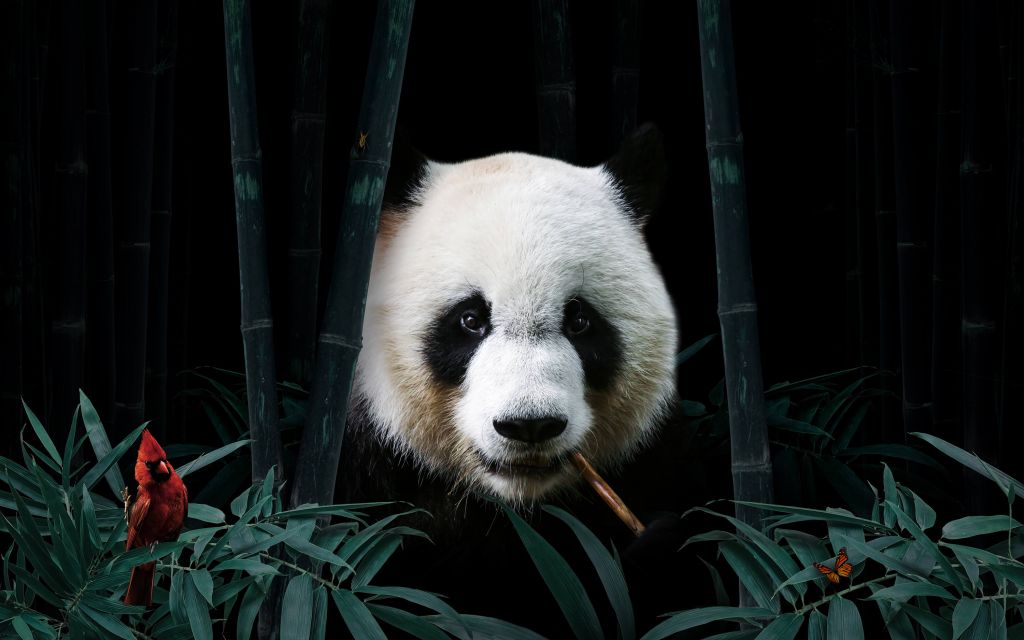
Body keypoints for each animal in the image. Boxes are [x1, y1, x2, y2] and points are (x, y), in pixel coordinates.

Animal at [339, 124, 689, 635]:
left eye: (579, 320)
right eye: (470, 319)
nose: (530, 425)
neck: (511, 505)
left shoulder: (654, 457)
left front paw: (666, 548)